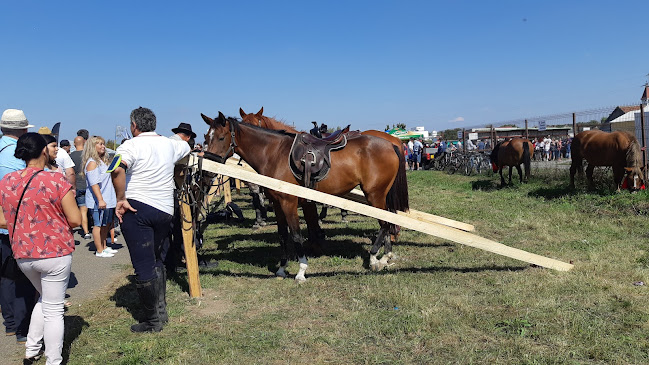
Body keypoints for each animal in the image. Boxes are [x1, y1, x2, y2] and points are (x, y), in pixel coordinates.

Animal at [200, 112, 408, 280]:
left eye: (221, 137)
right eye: (205, 138)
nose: (207, 172)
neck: (275, 154)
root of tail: (391, 144)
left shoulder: (289, 203)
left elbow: (297, 235)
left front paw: (301, 270)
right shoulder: (277, 204)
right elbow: (283, 235)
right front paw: (282, 269)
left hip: (374, 195)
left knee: (385, 223)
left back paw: (374, 258)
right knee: (389, 222)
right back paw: (386, 256)